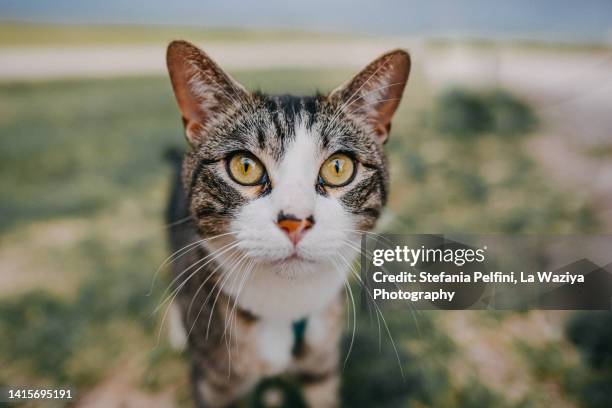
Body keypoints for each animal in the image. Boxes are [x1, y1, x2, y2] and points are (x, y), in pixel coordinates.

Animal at [165, 39, 408, 408]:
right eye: (244, 167)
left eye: (338, 168)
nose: (295, 221)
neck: (284, 305)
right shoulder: (213, 382)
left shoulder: (321, 363)